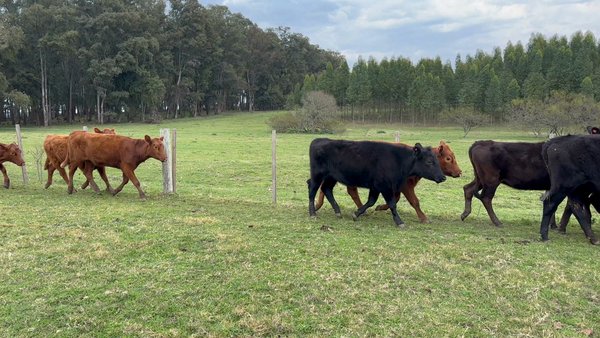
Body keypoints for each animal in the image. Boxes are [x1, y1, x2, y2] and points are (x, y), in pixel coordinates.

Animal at [312, 141, 462, 223]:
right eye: (448, 158)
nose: (460, 172)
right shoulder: (405, 187)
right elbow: (414, 201)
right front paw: (424, 218)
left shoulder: (393, 188)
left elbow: (393, 200)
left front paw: (380, 207)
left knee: (329, 189)